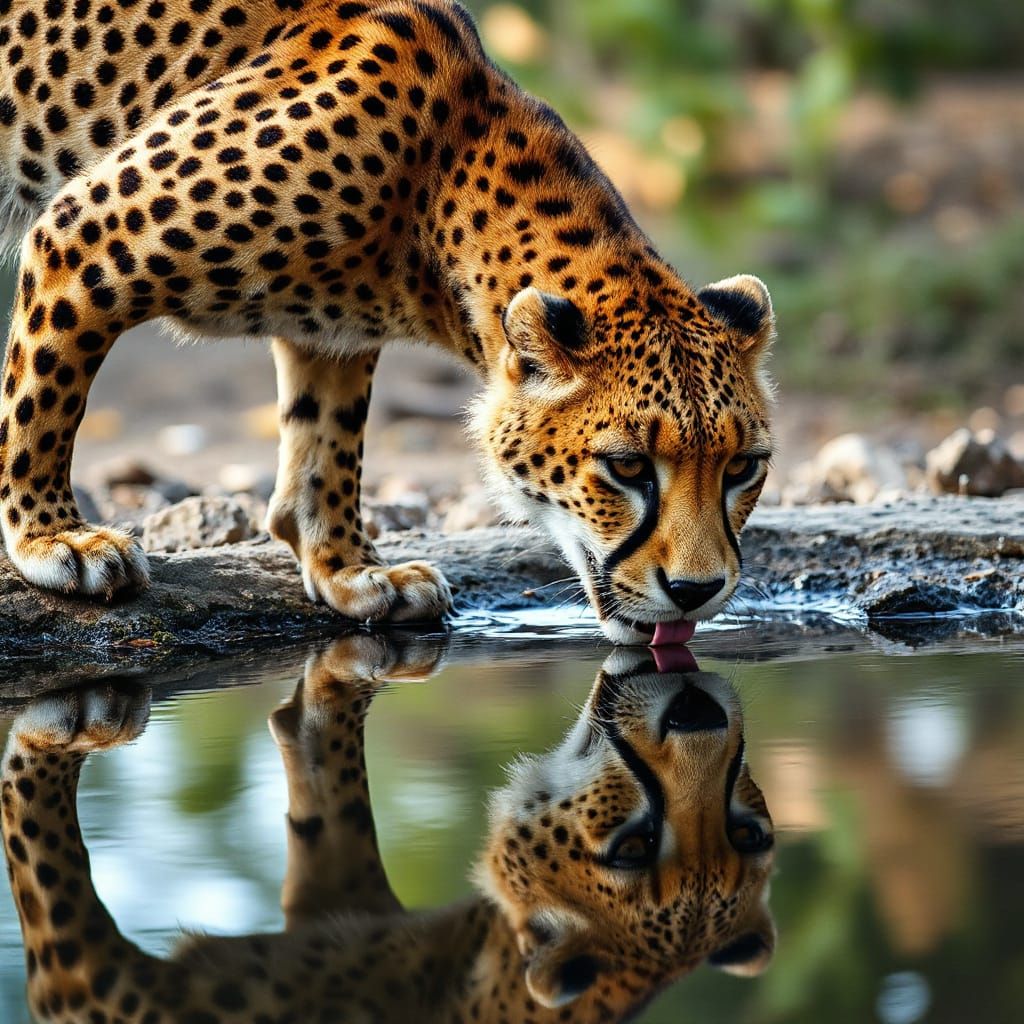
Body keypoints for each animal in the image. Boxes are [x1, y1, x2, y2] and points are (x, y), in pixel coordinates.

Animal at [0, 0, 776, 643]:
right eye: (627, 467)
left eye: (743, 467)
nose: (697, 591)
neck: (435, 181)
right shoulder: (82, 235)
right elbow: (43, 397)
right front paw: (50, 539)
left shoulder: (331, 335)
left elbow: (328, 438)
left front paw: (347, 569)